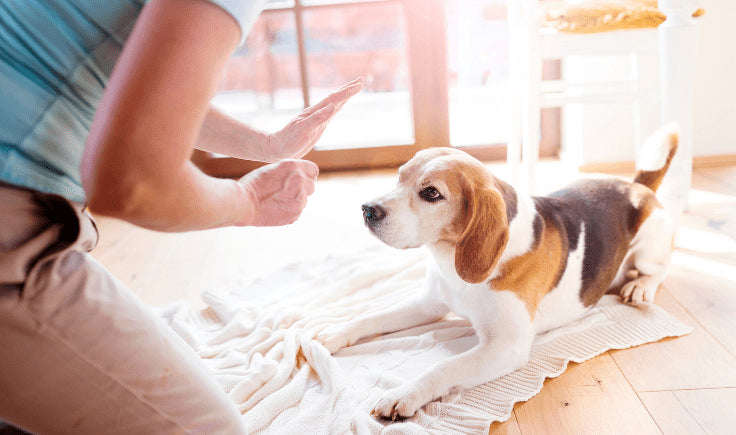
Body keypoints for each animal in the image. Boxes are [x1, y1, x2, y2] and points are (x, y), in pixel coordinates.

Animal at [316, 124, 680, 420]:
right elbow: (371, 318)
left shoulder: (506, 345)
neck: (451, 263)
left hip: (649, 248)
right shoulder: (428, 304)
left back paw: (641, 287)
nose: (367, 209)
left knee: (659, 270)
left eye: (431, 193)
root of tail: (636, 186)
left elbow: (444, 367)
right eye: (399, 177)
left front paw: (404, 393)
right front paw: (333, 333)